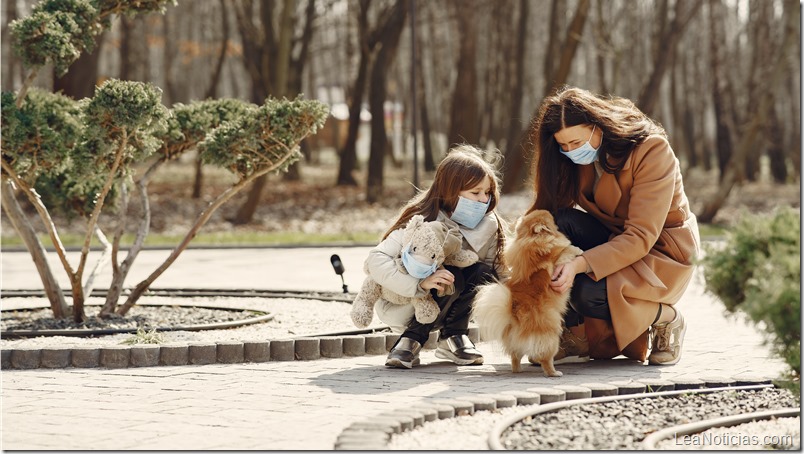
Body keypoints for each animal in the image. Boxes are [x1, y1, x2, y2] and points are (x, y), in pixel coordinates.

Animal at [474, 209, 580, 376]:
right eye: (549, 219)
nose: (550, 212)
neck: (531, 239)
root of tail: (513, 313)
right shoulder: (556, 261)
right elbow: (565, 250)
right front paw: (577, 249)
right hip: (551, 335)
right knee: (545, 358)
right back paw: (553, 373)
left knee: (515, 356)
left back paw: (518, 370)